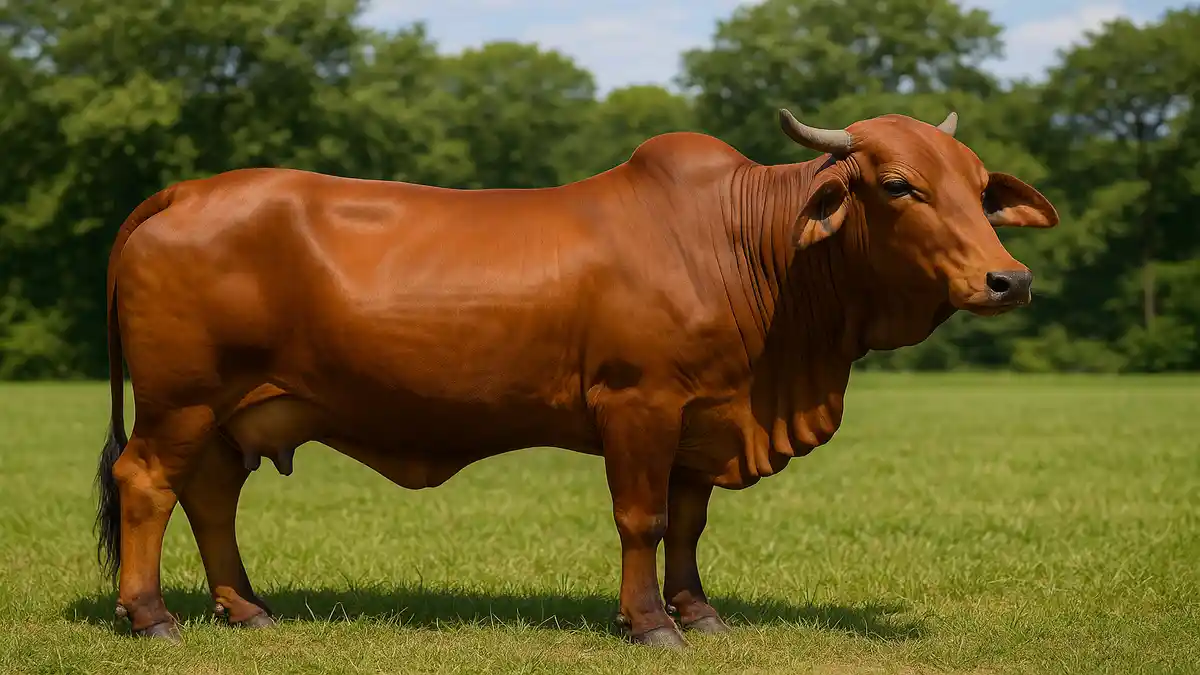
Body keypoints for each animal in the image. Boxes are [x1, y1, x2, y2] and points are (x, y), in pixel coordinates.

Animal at [94, 109, 1058, 649]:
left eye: (981, 187)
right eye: (897, 184)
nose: (1008, 279)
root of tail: (183, 190)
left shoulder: (704, 416)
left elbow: (687, 523)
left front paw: (699, 611)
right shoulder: (640, 404)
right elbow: (642, 519)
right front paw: (651, 623)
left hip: (231, 413)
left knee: (210, 497)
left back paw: (246, 608)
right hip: (181, 401)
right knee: (145, 482)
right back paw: (151, 615)